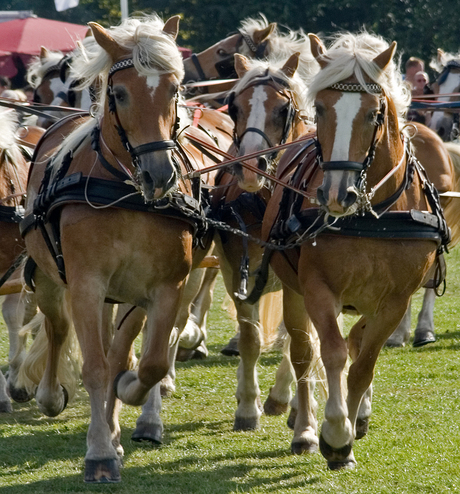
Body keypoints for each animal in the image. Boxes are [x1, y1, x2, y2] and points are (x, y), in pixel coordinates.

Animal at [16, 15, 234, 482]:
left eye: (174, 88)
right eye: (119, 94)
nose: (159, 175)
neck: (126, 192)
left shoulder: (163, 288)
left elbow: (144, 361)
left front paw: (128, 401)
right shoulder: (86, 285)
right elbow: (96, 366)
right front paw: (99, 452)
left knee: (129, 346)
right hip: (51, 279)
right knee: (58, 328)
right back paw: (50, 395)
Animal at [258, 31, 452, 470]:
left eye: (374, 114)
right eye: (321, 108)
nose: (336, 194)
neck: (372, 215)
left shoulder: (395, 300)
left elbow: (363, 364)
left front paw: (349, 423)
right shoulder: (317, 288)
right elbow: (330, 353)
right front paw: (334, 433)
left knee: (356, 342)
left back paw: (356, 411)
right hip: (295, 291)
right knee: (304, 351)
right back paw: (304, 427)